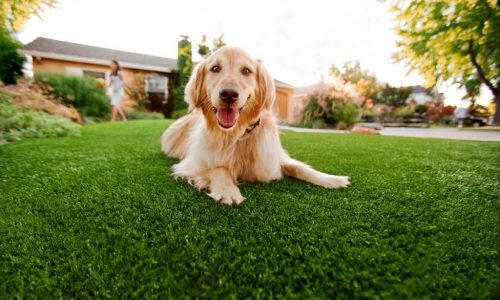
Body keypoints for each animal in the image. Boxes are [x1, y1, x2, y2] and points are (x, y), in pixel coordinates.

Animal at [162, 47, 350, 205]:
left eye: (246, 71)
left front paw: (331, 179)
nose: (229, 94)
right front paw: (228, 190)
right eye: (215, 68)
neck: (237, 135)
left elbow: (299, 167)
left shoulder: (272, 158)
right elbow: (219, 168)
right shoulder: (194, 163)